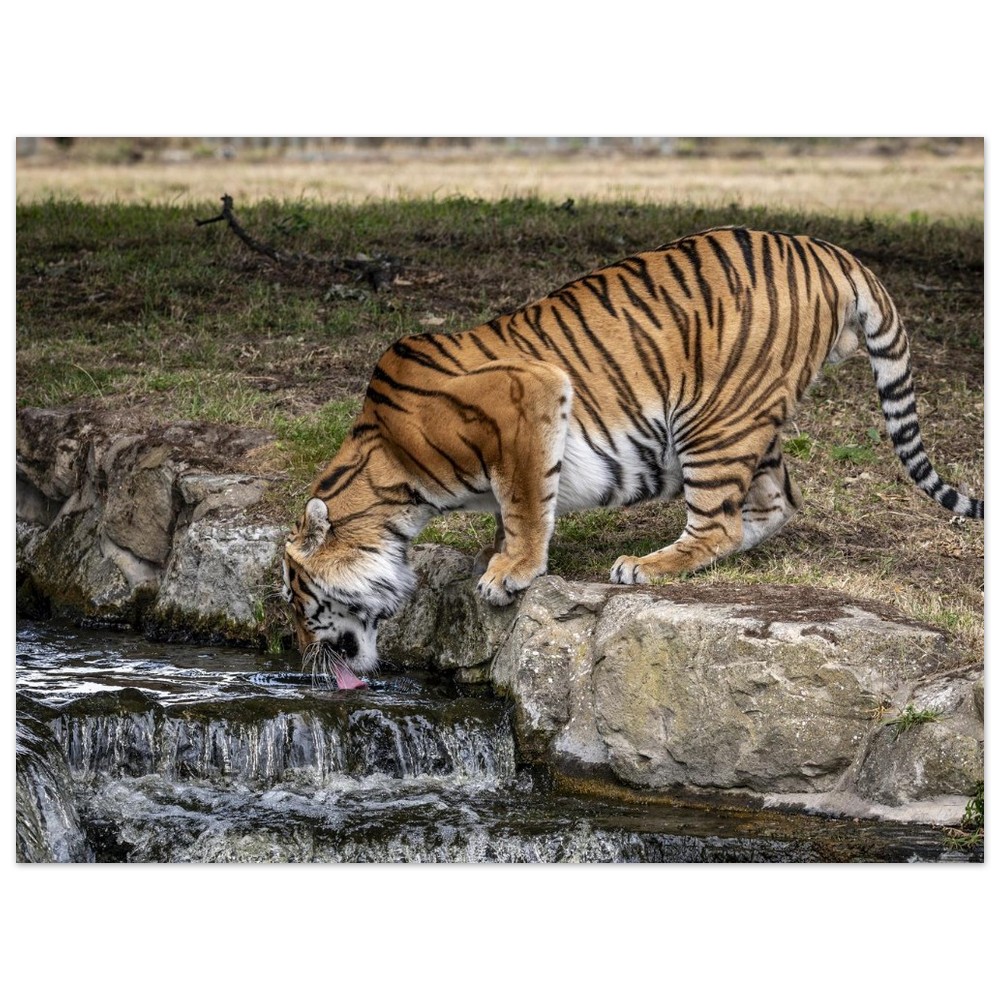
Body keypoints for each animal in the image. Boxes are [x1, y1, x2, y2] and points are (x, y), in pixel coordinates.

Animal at [282, 226, 983, 687]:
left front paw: (509, 573)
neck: (391, 477)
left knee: (718, 523)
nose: (298, 655)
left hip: (711, 418)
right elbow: (515, 504)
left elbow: (525, 500)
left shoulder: (530, 395)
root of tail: (829, 251)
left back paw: (645, 565)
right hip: (750, 419)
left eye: (295, 597)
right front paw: (501, 558)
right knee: (773, 505)